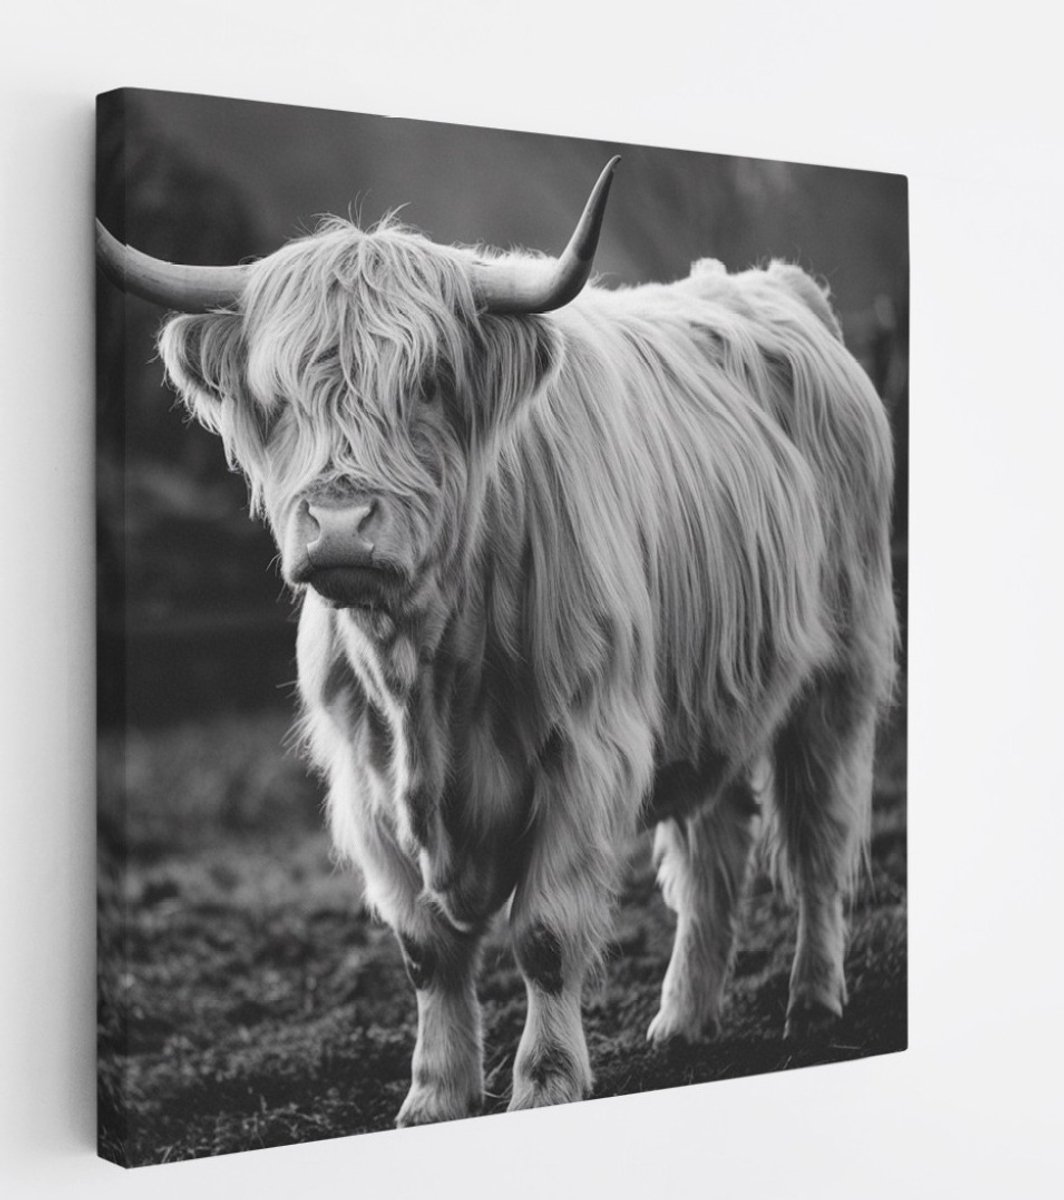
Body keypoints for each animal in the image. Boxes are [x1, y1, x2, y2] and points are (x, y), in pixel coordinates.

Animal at [96, 157, 897, 1126]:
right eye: (278, 398)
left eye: (429, 383)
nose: (340, 526)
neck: (426, 678)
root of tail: (775, 287)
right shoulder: (365, 782)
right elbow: (426, 952)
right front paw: (433, 1096)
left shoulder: (586, 749)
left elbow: (546, 936)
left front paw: (544, 1083)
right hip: (712, 686)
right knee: (712, 852)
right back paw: (682, 1021)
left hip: (840, 673)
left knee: (818, 838)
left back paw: (812, 1003)